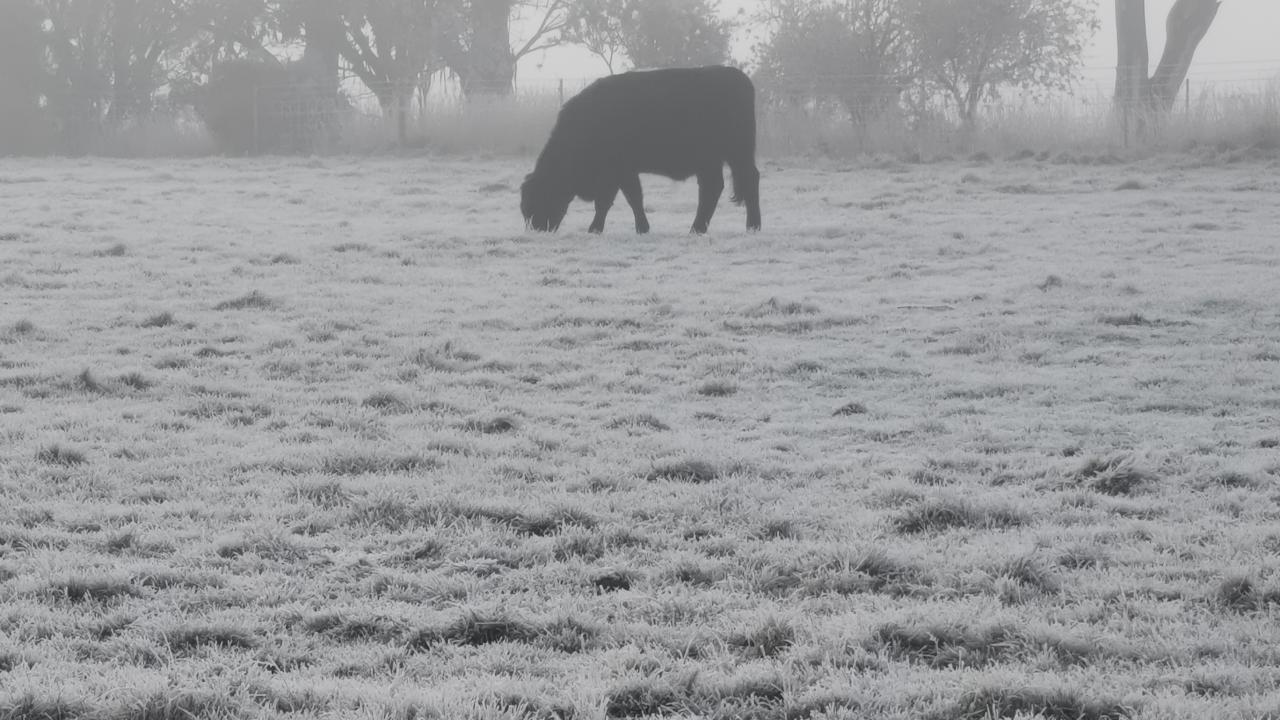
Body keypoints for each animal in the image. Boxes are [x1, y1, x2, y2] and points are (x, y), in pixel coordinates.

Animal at [519, 64, 757, 233]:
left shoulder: (619, 172)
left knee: (743, 181)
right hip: (714, 161)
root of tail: (738, 77)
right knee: (715, 188)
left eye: (538, 196)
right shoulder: (622, 173)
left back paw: (748, 226)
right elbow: (626, 199)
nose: (538, 227)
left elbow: (618, 200)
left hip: (735, 155)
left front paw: (597, 228)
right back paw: (701, 228)